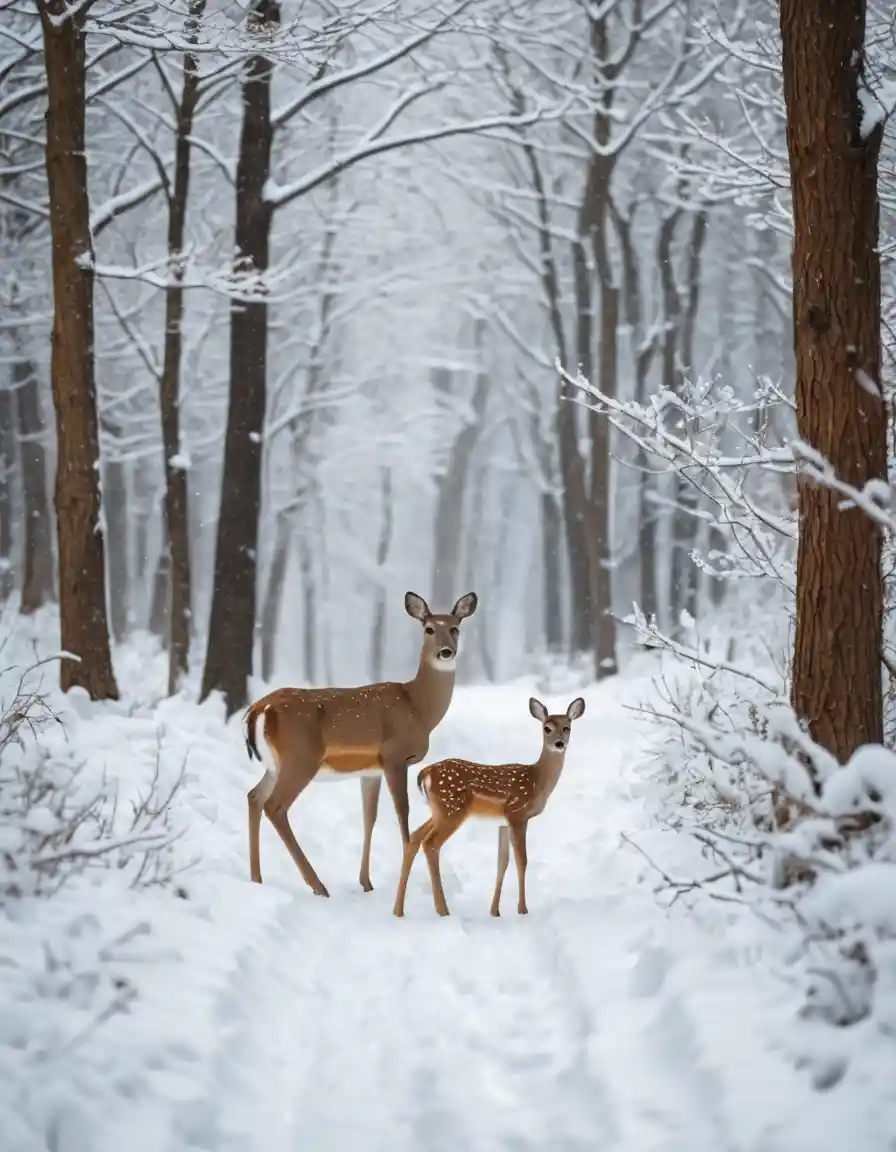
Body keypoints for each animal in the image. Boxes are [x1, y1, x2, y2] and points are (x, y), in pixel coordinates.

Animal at [243, 591, 478, 897]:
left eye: (455, 628)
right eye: (428, 629)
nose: (446, 652)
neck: (418, 708)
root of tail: (260, 708)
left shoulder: (370, 770)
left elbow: (370, 818)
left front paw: (366, 882)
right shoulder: (395, 756)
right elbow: (403, 812)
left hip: (275, 765)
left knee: (254, 797)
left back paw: (257, 879)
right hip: (301, 758)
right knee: (275, 806)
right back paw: (318, 885)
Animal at [392, 695, 586, 919]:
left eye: (567, 727)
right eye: (547, 728)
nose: (559, 743)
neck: (537, 781)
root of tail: (425, 773)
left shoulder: (502, 822)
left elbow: (502, 862)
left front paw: (495, 911)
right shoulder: (517, 813)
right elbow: (522, 860)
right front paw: (522, 910)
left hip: (439, 810)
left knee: (415, 836)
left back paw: (398, 910)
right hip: (453, 809)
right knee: (431, 844)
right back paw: (443, 910)